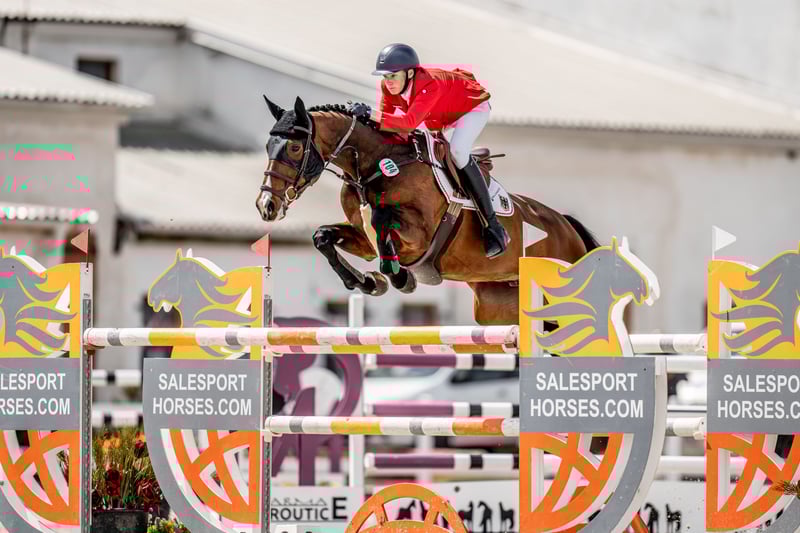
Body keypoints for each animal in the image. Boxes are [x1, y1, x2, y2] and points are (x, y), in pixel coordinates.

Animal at [256, 96, 599, 325]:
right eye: (268, 147)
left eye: (295, 147)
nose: (266, 206)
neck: (372, 165)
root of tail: (567, 225)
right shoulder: (364, 241)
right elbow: (323, 237)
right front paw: (368, 282)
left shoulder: (419, 234)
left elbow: (382, 220)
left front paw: (399, 278)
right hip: (497, 307)